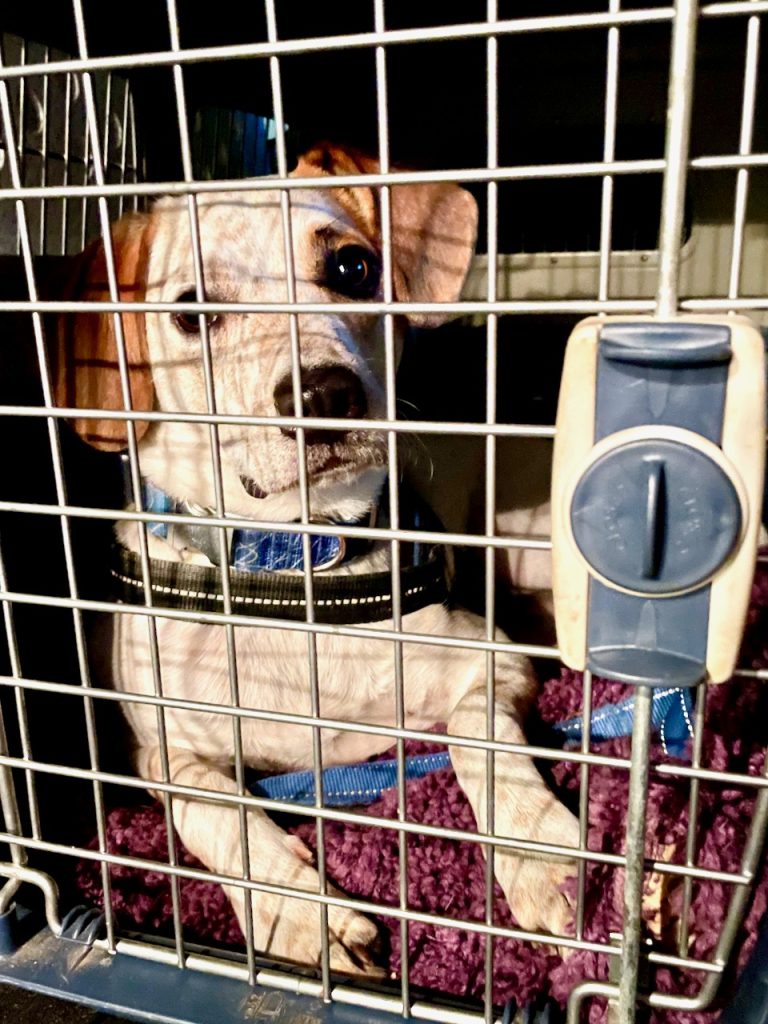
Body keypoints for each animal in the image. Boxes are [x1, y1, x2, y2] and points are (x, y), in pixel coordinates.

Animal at [54, 144, 581, 974]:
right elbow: (214, 813)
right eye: (191, 311)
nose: (325, 395)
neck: (290, 558)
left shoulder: (488, 659)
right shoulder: (161, 751)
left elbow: (478, 738)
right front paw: (296, 913)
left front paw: (537, 853)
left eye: (353, 267)